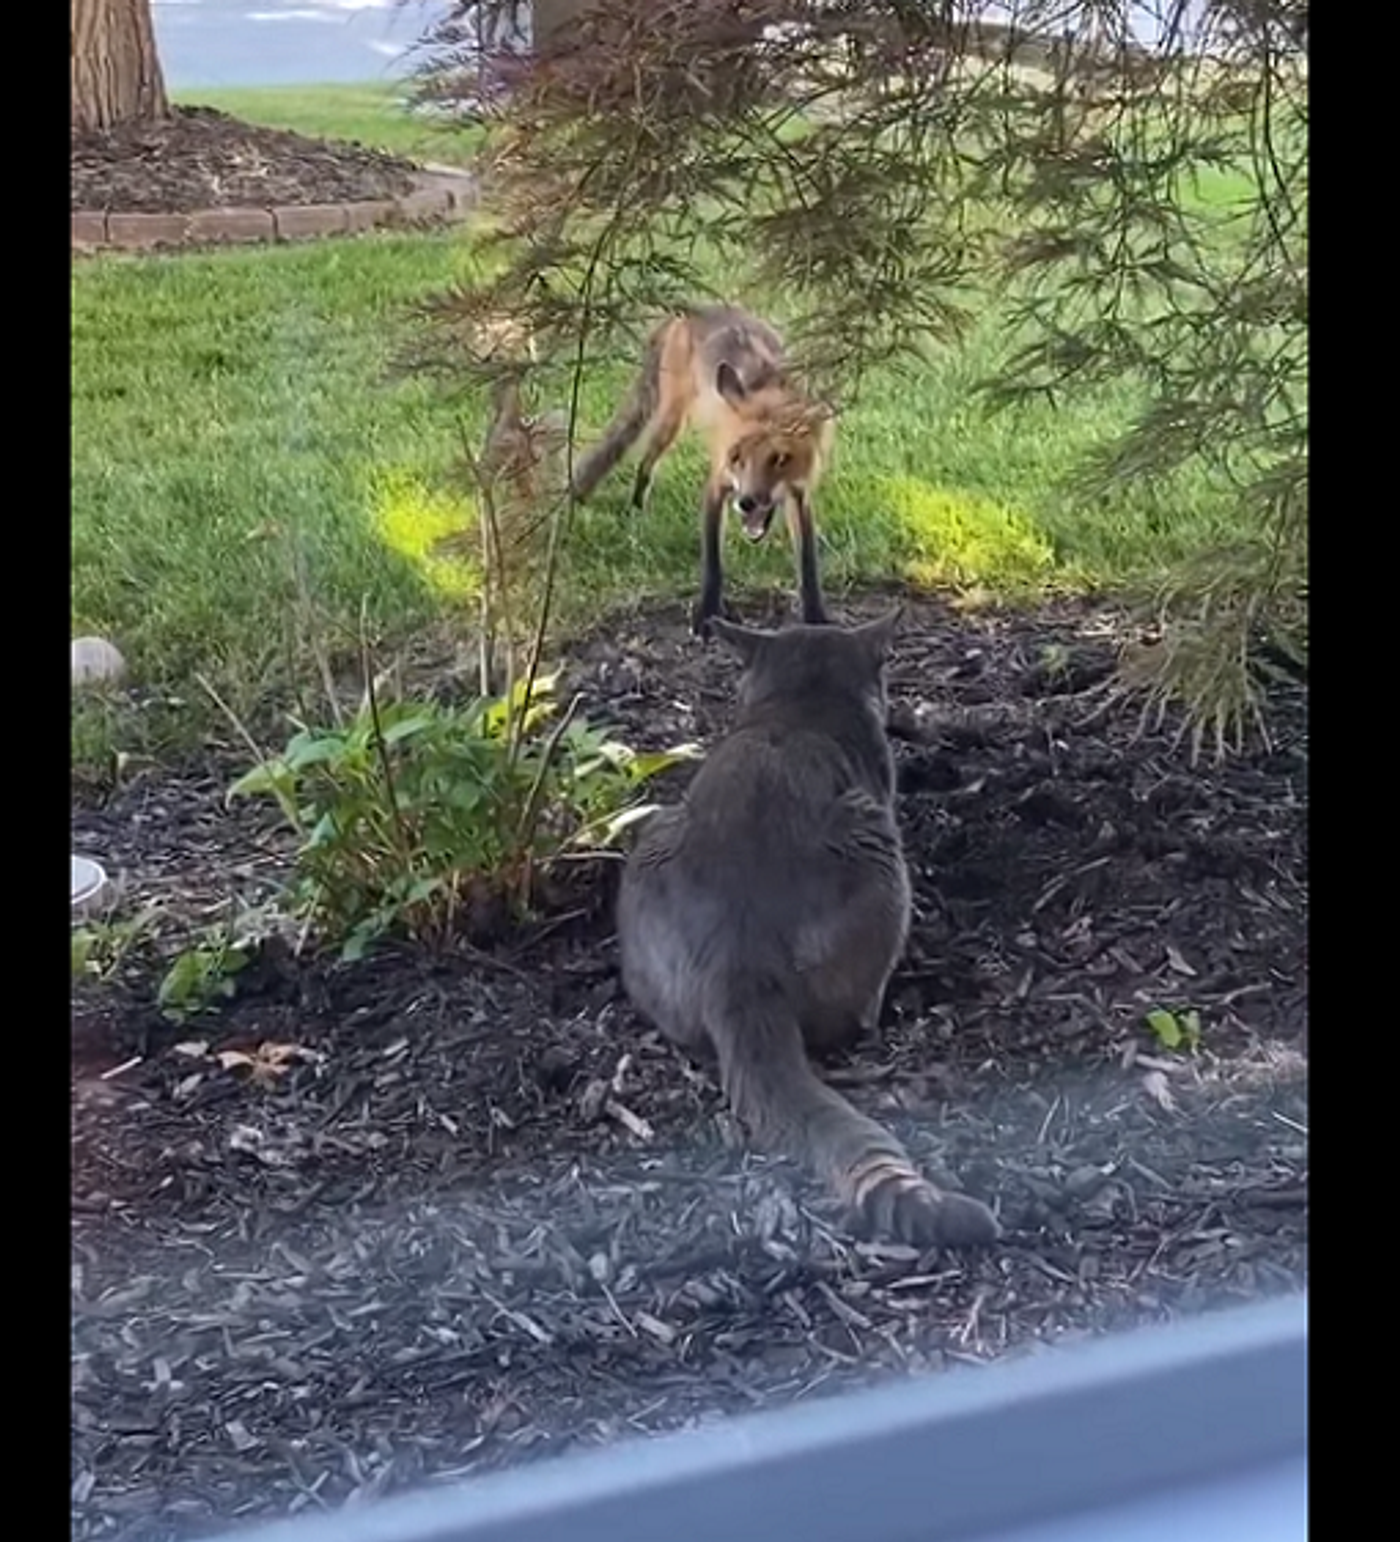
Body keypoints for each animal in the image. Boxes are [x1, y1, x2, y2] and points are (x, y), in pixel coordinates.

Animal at [567, 303, 832, 629]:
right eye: (736, 457)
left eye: (780, 459)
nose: (746, 502)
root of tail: (693, 308)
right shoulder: (718, 482)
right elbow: (712, 564)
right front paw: (707, 615)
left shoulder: (799, 494)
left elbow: (808, 563)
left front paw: (816, 617)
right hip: (670, 420)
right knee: (645, 462)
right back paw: (637, 508)